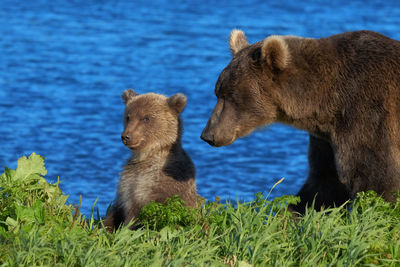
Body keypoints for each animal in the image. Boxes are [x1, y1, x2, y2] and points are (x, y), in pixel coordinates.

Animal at [202, 29, 400, 214]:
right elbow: (323, 182)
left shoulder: (366, 114)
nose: (208, 135)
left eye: (230, 96)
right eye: (217, 93)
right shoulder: (326, 138)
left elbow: (375, 179)